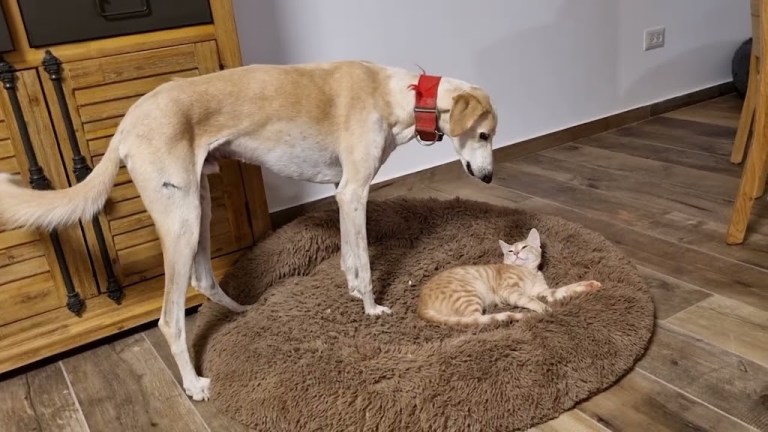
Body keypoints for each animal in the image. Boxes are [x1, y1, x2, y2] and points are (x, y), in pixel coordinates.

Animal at [0, 59, 498, 400]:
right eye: (485, 135)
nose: (490, 178)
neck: (398, 94)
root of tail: (127, 121)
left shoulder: (342, 194)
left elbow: (349, 260)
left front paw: (355, 294)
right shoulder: (354, 191)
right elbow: (364, 263)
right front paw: (372, 308)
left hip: (198, 205)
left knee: (204, 279)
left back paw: (242, 311)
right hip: (182, 219)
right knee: (170, 318)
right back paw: (194, 384)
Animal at [420, 228, 600, 326]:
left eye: (524, 247)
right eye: (511, 251)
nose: (517, 253)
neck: (528, 272)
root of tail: (420, 305)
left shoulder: (543, 292)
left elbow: (565, 289)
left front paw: (591, 284)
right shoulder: (510, 291)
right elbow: (531, 300)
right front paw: (546, 310)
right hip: (468, 295)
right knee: (476, 320)